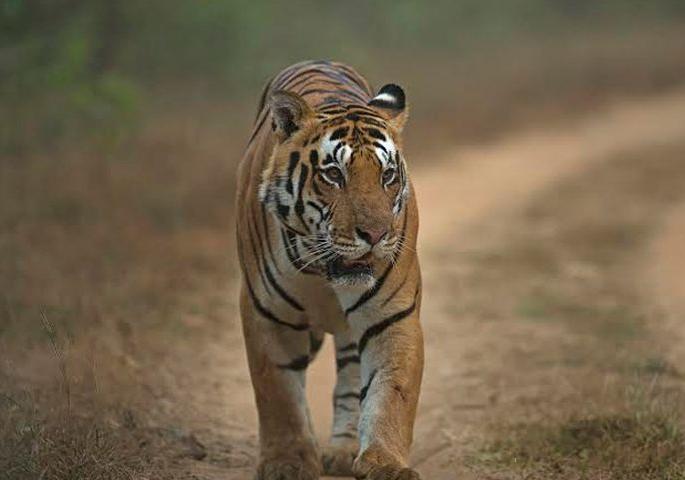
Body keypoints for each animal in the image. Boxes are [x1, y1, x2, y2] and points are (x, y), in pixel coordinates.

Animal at [236, 60, 423, 480]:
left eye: (388, 175)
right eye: (334, 174)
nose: (376, 234)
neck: (323, 271)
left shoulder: (392, 315)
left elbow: (391, 392)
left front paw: (385, 463)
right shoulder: (266, 313)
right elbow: (277, 391)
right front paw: (287, 461)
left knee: (351, 380)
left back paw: (344, 449)